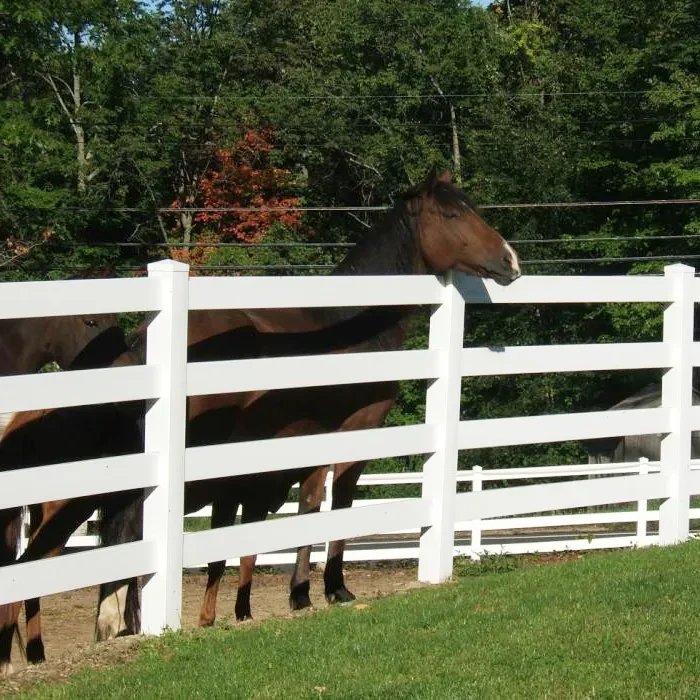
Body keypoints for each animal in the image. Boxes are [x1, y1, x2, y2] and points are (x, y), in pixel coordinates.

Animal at [0, 169, 521, 670]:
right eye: (452, 214)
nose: (511, 261)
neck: (349, 323)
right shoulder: (351, 434)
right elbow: (331, 506)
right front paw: (327, 589)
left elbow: (295, 513)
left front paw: (291, 596)